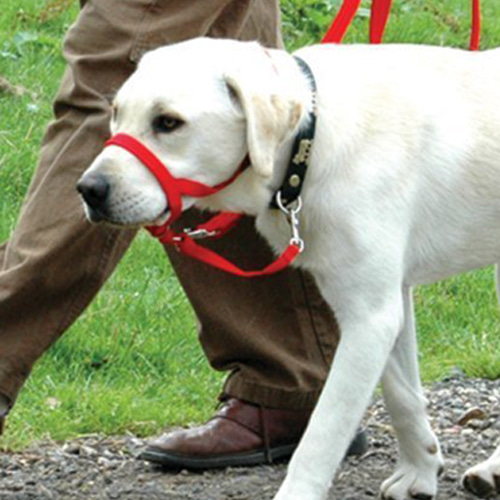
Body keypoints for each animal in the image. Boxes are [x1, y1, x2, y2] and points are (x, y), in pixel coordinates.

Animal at [77, 40, 500, 500]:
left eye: (168, 122)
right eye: (116, 114)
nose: (88, 189)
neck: (308, 144)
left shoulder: (370, 316)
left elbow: (322, 432)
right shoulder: (383, 303)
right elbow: (402, 395)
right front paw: (420, 468)